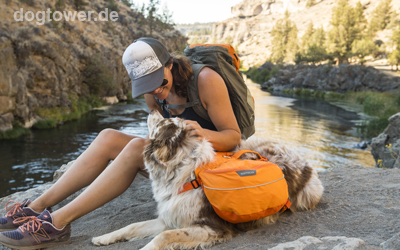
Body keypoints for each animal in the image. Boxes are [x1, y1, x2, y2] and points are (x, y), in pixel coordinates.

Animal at [92, 110, 324, 249]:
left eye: (164, 121)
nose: (154, 110)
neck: (181, 174)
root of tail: (304, 161)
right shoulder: (170, 217)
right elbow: (132, 226)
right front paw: (104, 237)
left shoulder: (213, 227)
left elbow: (164, 237)